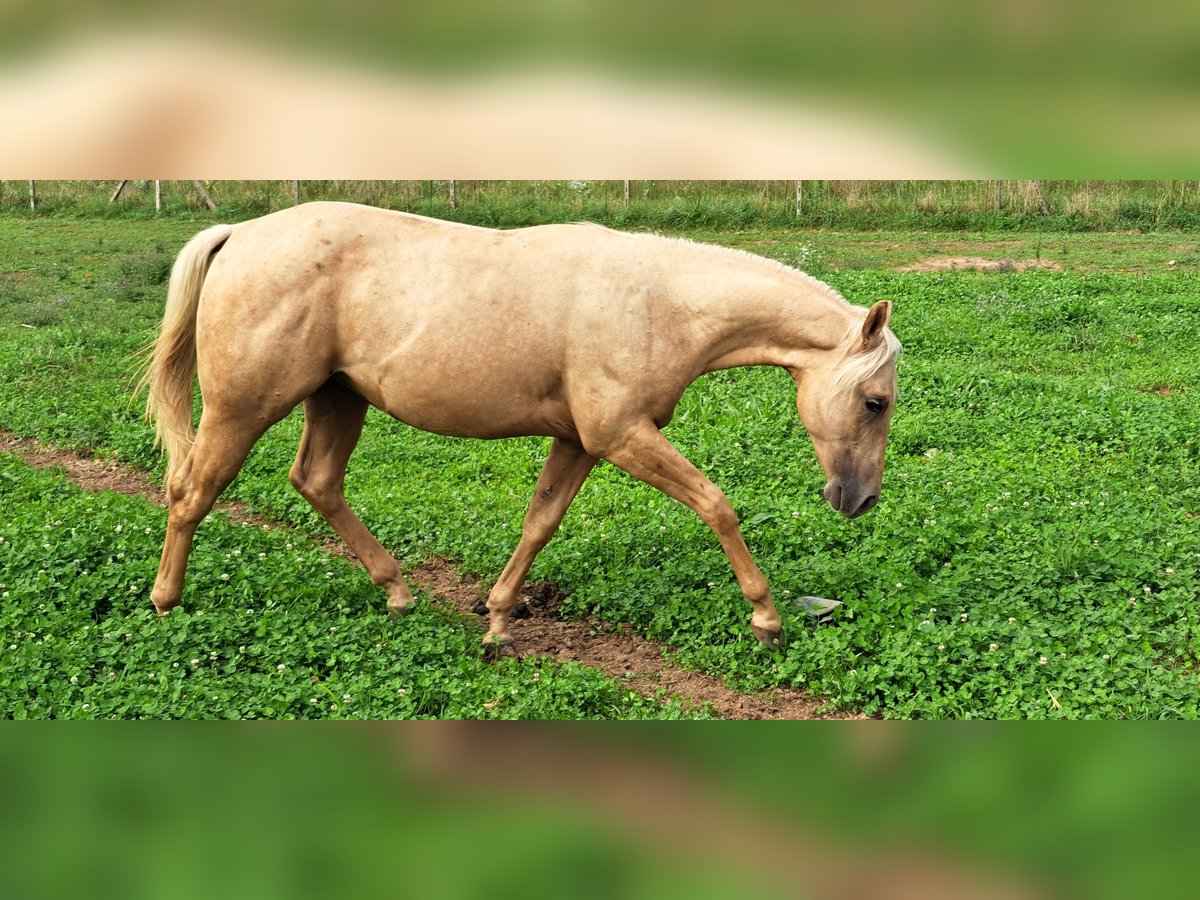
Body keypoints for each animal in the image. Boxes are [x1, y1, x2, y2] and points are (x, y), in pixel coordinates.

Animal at [140, 202, 897, 657]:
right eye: (876, 402)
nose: (860, 500)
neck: (662, 303)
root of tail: (240, 234)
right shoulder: (623, 436)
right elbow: (717, 505)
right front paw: (766, 618)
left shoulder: (581, 442)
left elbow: (540, 522)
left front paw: (500, 619)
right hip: (243, 409)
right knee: (191, 490)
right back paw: (165, 602)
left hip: (337, 398)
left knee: (317, 481)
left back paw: (398, 591)